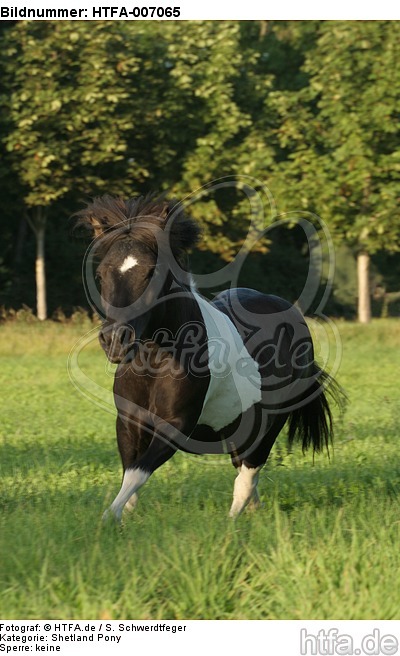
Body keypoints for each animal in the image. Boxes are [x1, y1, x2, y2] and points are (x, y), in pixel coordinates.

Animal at [77, 194, 343, 521]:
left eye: (152, 273)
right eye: (101, 274)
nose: (115, 340)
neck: (155, 362)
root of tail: (291, 314)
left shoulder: (177, 424)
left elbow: (139, 472)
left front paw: (106, 520)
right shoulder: (128, 421)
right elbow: (130, 474)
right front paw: (122, 516)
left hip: (269, 424)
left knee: (248, 473)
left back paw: (233, 522)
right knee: (245, 472)